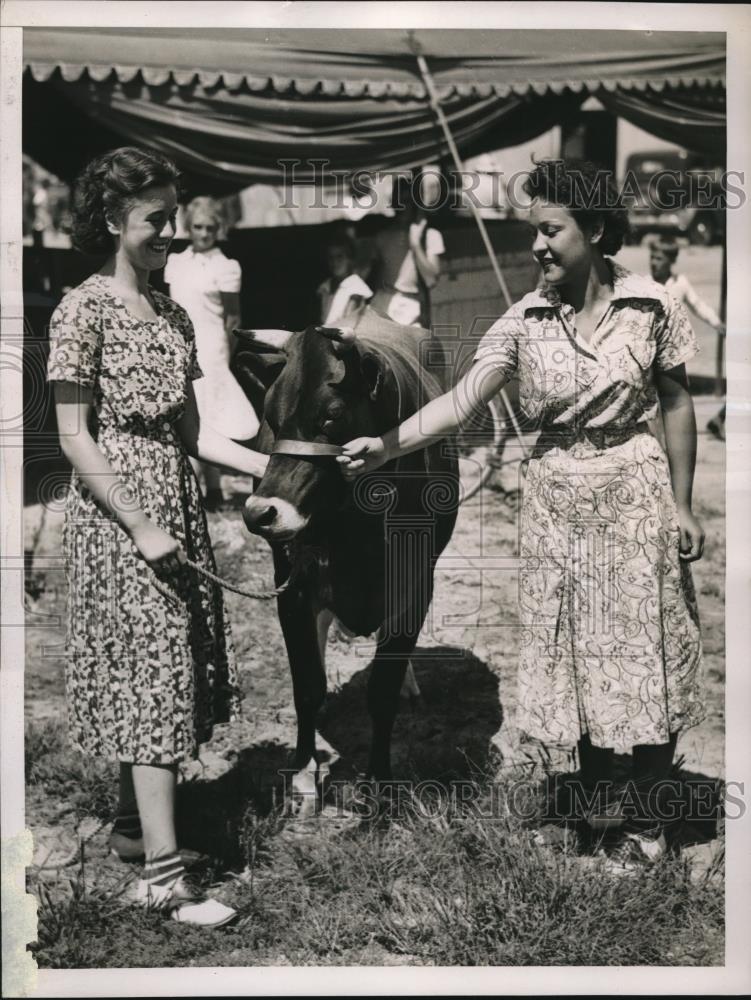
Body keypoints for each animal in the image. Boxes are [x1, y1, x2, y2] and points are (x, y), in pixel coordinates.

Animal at [232, 306, 462, 812]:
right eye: (269, 418)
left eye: (332, 417)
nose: (261, 514)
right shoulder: (294, 586)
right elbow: (307, 686)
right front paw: (303, 776)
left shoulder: (413, 586)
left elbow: (382, 691)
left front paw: (379, 782)